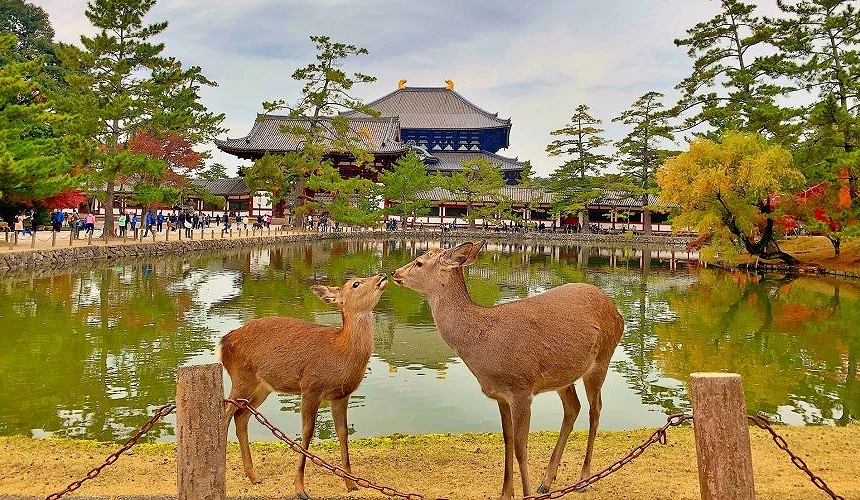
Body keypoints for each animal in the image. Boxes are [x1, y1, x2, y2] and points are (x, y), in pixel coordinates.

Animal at [219, 273, 388, 500]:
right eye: (355, 283)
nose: (382, 275)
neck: (340, 353)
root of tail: (223, 343)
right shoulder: (311, 387)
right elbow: (307, 433)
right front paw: (300, 488)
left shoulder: (340, 395)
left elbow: (343, 433)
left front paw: (351, 483)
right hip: (241, 378)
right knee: (226, 414)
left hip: (262, 387)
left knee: (241, 415)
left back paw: (254, 477)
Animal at [392, 241, 623, 500]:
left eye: (419, 262)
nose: (394, 273)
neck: (483, 345)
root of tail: (618, 312)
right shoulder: (500, 395)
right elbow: (508, 440)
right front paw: (506, 492)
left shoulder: (521, 388)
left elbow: (521, 447)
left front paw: (526, 493)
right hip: (563, 376)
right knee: (573, 408)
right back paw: (546, 482)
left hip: (602, 359)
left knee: (596, 410)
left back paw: (583, 478)